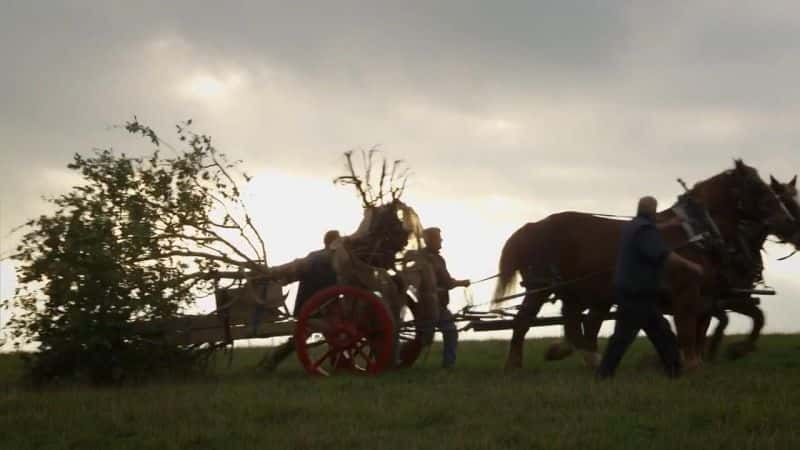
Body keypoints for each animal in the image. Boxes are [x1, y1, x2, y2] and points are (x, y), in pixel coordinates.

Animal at [496, 160, 796, 370]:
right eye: (758, 187)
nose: (788, 222)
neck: (694, 234)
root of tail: (532, 226)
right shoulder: (689, 295)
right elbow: (688, 332)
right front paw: (694, 363)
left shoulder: (705, 298)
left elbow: (697, 329)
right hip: (542, 287)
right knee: (524, 322)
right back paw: (515, 365)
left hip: (575, 292)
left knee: (574, 324)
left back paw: (588, 360)